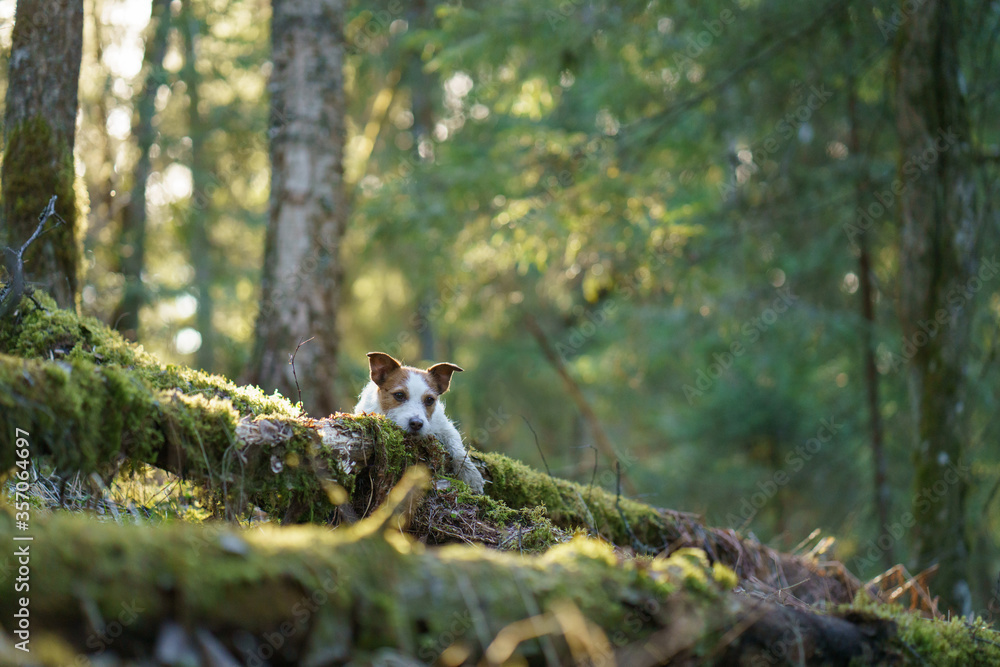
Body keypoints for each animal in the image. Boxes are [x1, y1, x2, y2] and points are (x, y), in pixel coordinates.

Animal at [354, 352, 486, 494]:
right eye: (399, 395)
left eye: (429, 400)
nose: (416, 423)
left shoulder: (445, 427)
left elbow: (457, 448)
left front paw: (472, 475)